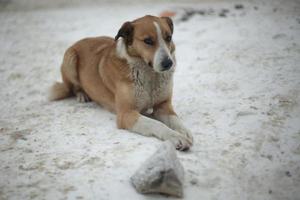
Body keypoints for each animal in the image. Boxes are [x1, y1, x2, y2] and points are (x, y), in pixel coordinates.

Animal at [49, 15, 193, 150]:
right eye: (148, 41)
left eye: (168, 38)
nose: (168, 63)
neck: (150, 75)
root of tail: (80, 40)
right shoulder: (126, 114)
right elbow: (156, 124)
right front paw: (176, 137)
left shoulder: (163, 105)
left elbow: (176, 119)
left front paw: (184, 131)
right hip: (70, 58)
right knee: (72, 87)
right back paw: (82, 95)